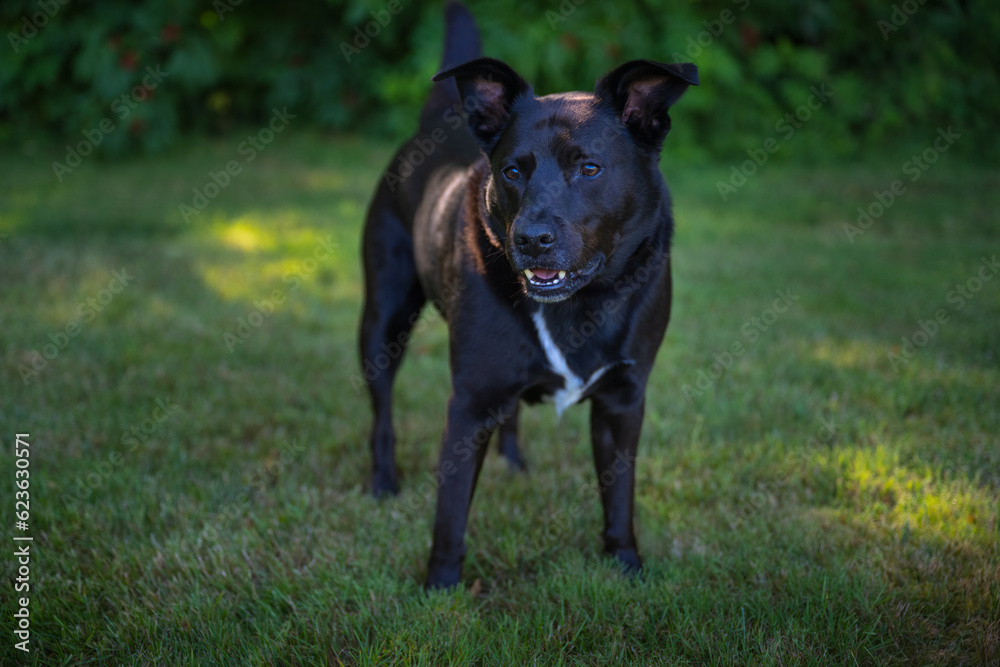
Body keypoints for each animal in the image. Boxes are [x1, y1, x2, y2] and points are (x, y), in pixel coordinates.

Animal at [360, 5, 696, 588]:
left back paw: (513, 463)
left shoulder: (623, 401)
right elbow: (451, 512)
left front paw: (625, 566)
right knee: (382, 412)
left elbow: (619, 497)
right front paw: (439, 589)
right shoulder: (469, 403)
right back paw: (384, 481)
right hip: (383, 320)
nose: (531, 239)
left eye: (589, 168)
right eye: (512, 170)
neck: (581, 303)